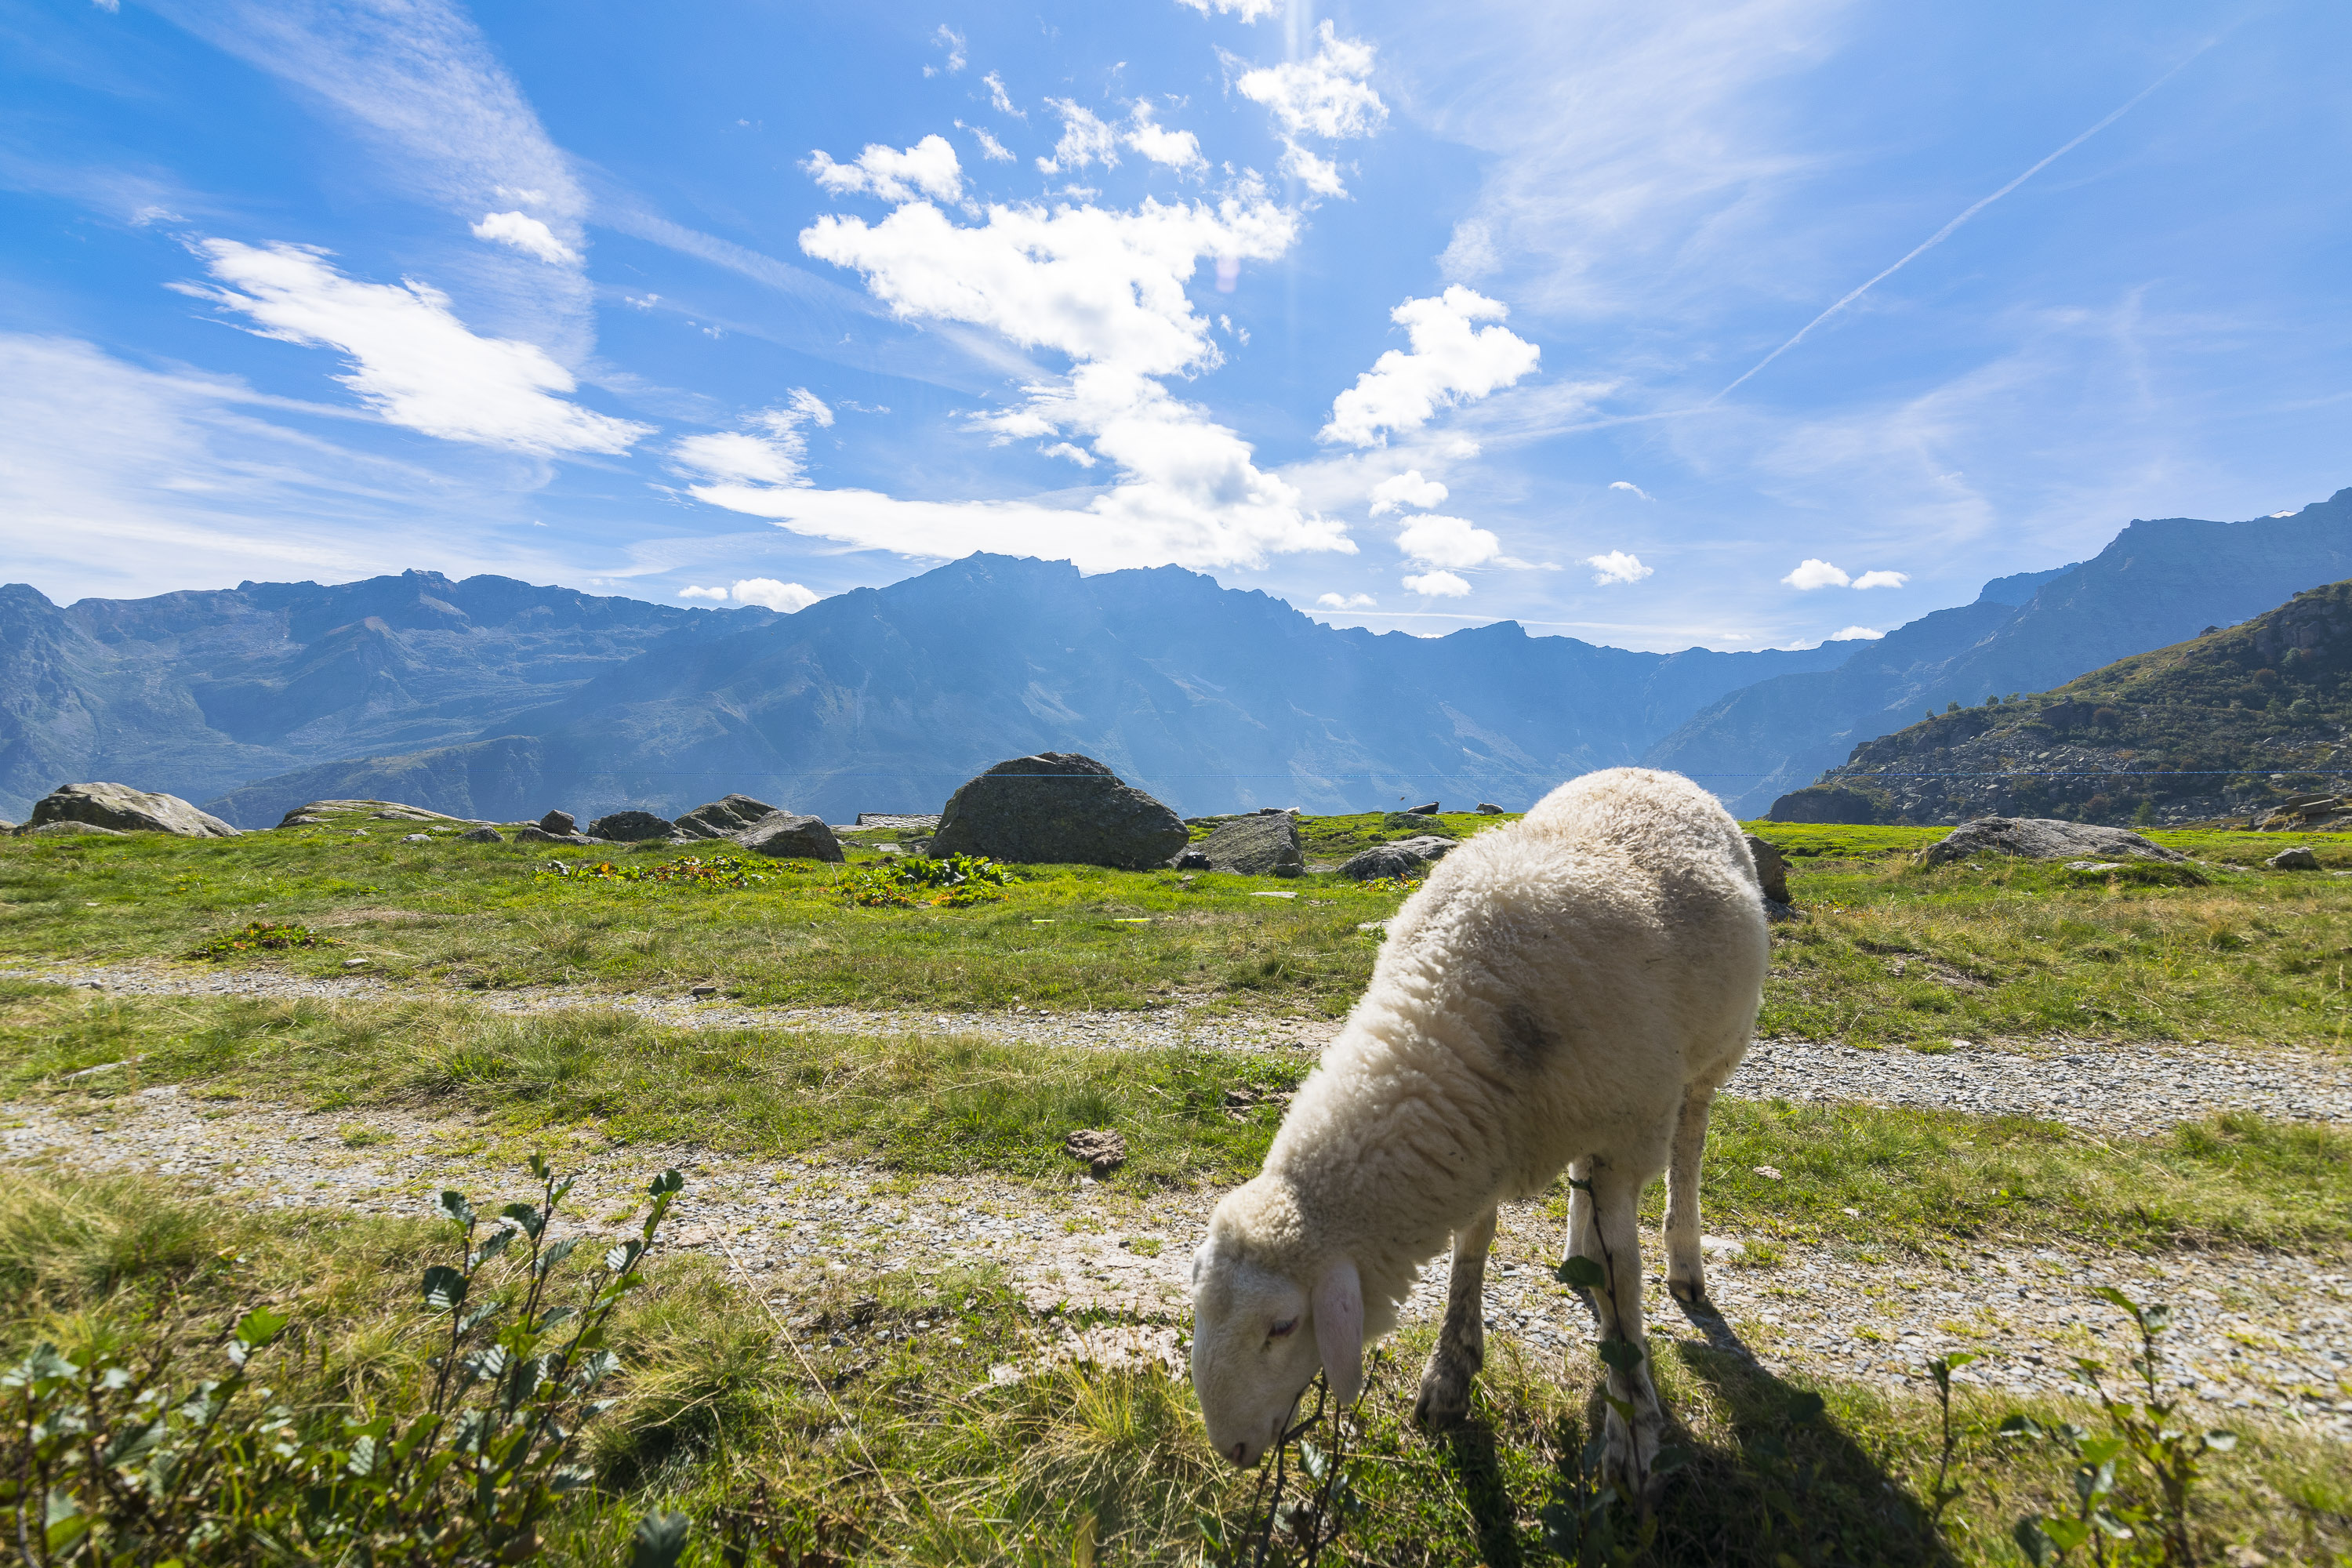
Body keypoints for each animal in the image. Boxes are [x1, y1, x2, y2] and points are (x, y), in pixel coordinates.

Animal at [1195, 771, 1769, 1495]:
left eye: (1283, 1325)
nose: (1231, 1448)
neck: (1459, 1002)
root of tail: (1651, 773)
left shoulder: (1625, 1134)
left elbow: (1622, 1279)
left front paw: (1634, 1428)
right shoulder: (1485, 1132)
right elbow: (1473, 1246)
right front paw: (1450, 1374)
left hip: (1710, 1059)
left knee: (1688, 1150)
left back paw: (1685, 1262)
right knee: (1587, 1190)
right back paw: (1577, 1252)